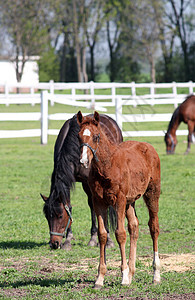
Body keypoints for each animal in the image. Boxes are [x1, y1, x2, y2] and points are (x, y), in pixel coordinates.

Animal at [41, 112, 122, 248]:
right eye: (47, 216)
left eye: (60, 216)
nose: (54, 243)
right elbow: (70, 205)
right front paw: (68, 239)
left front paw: (108, 240)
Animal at [77, 110, 161, 288]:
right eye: (78, 136)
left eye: (96, 136)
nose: (84, 161)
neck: (107, 167)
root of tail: (148, 147)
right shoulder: (98, 202)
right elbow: (103, 235)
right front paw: (100, 278)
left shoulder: (119, 200)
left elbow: (120, 233)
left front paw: (123, 276)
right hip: (130, 201)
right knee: (134, 227)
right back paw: (132, 272)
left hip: (152, 193)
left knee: (153, 227)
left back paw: (156, 274)